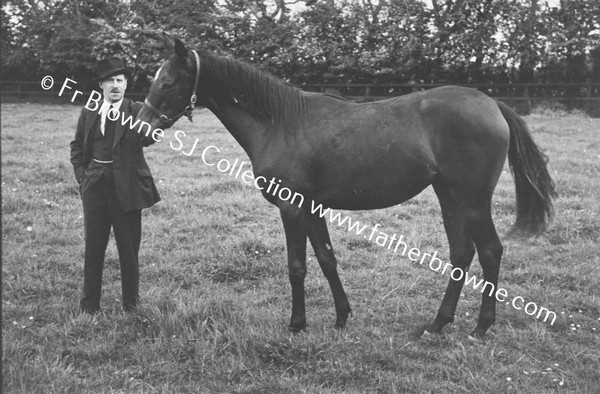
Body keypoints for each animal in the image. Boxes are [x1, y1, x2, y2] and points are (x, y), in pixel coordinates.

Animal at [137, 34, 556, 338]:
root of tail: (492, 105)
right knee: (461, 254)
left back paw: (482, 327)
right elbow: (326, 258)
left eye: (168, 83)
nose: (141, 129)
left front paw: (297, 324)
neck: (280, 122)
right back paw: (438, 324)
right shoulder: (312, 207)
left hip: (472, 201)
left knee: (490, 251)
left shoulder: (292, 208)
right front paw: (341, 317)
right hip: (448, 197)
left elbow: (297, 266)